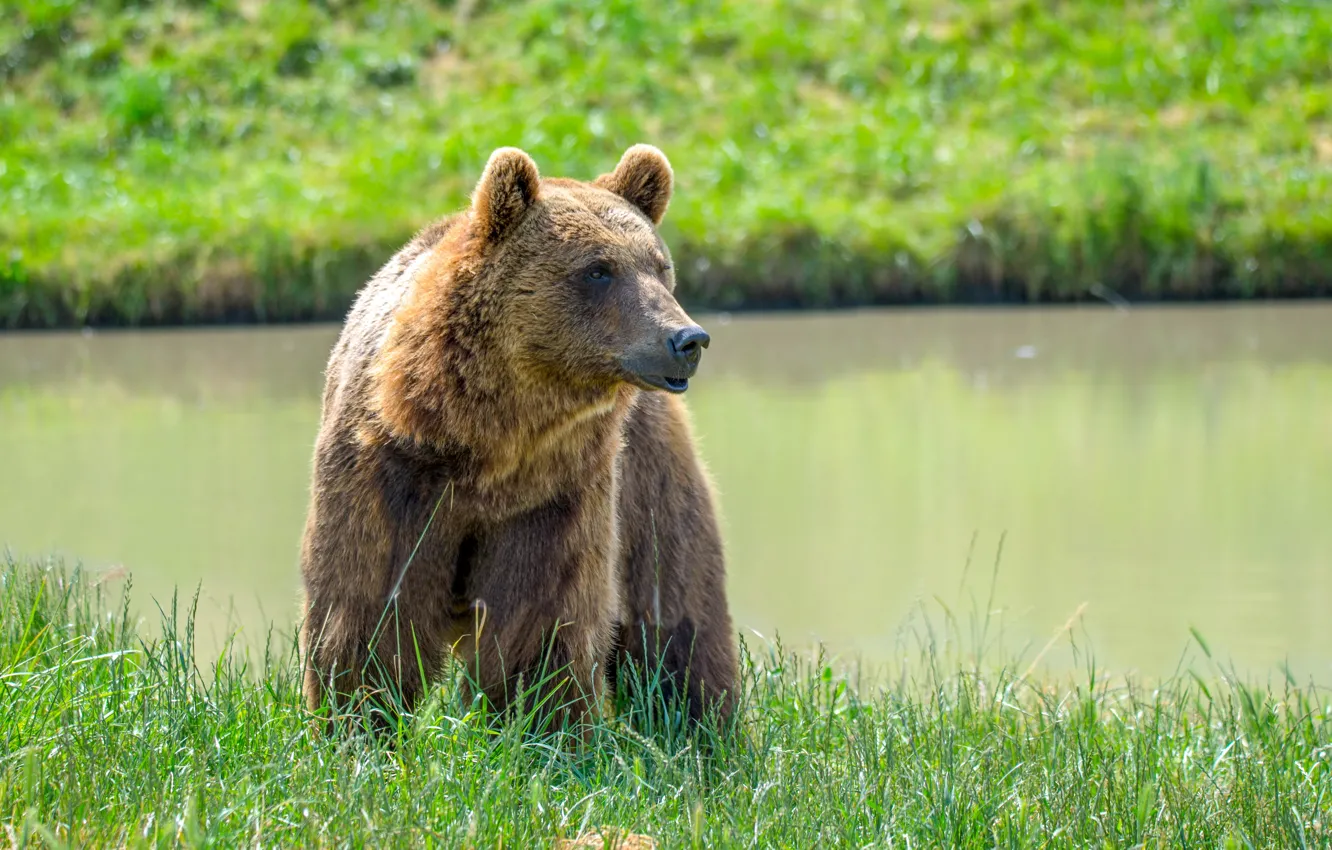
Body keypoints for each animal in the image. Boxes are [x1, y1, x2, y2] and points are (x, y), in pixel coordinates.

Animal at [298, 143, 739, 735]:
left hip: (647, 476)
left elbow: (541, 615)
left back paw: (701, 727)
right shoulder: (390, 471)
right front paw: (361, 721)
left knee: (676, 608)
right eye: (599, 269)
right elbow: (370, 604)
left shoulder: (555, 492)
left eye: (659, 265)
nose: (687, 339)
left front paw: (537, 720)